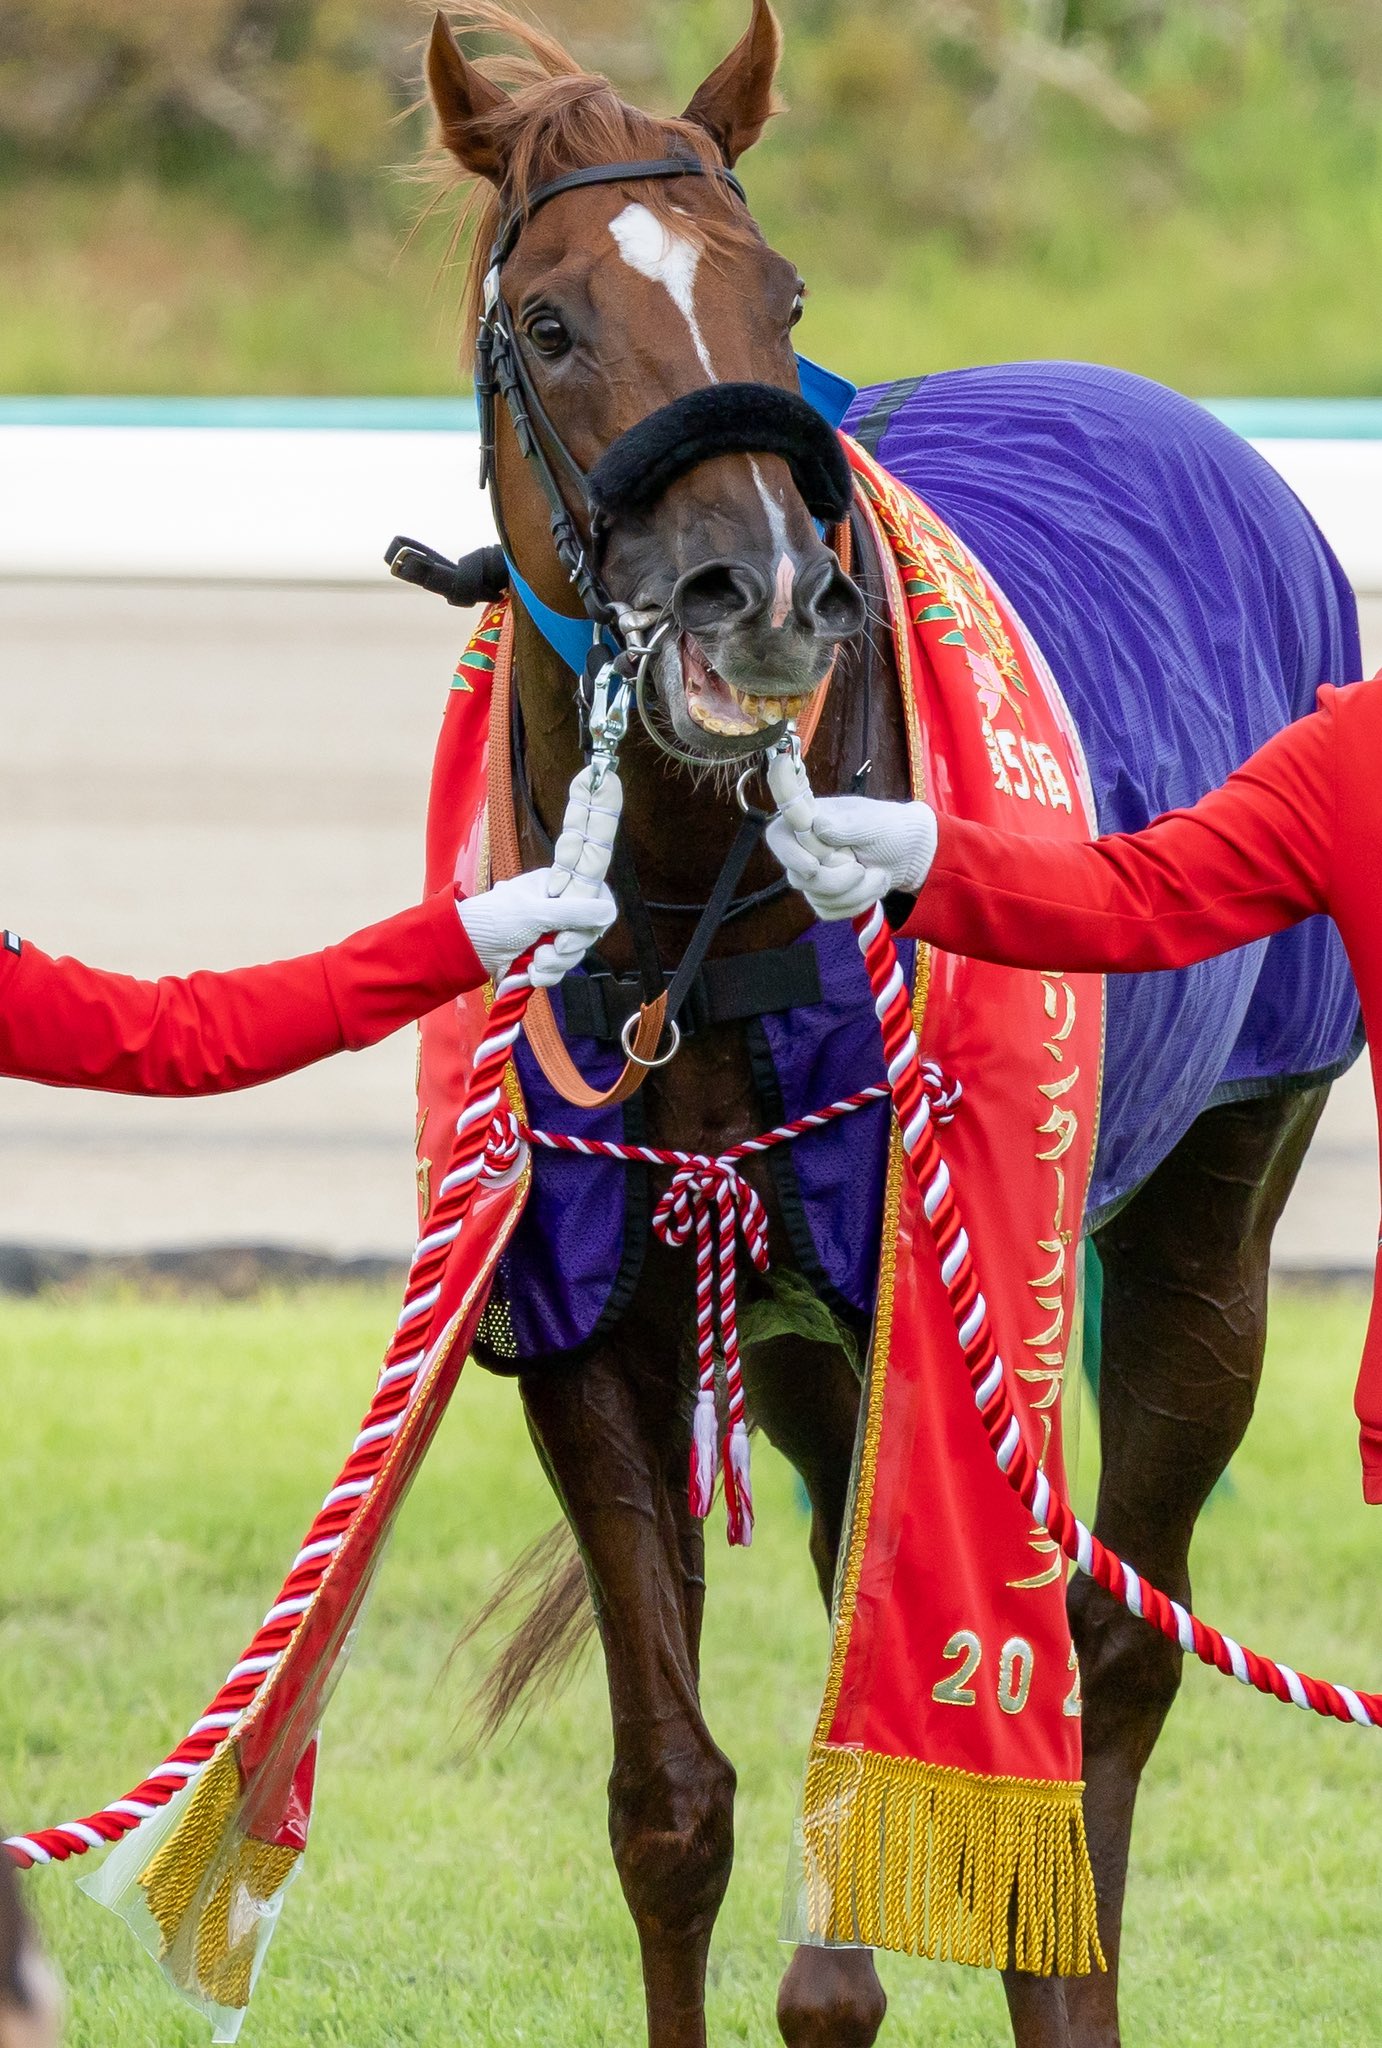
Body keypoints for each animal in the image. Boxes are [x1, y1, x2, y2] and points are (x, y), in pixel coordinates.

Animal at [423, 7, 1361, 2045]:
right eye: (551, 321)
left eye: (779, 297)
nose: (763, 597)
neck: (697, 931)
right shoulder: (598, 1327)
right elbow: (672, 1809)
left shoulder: (931, 1303)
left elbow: (875, 1844)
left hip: (1211, 1218)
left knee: (1109, 1662)